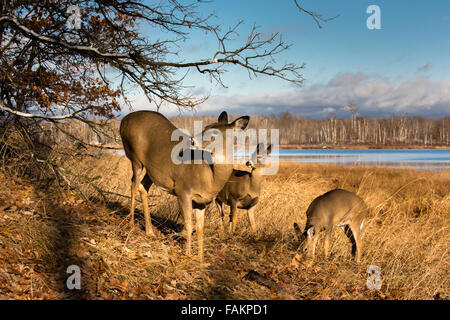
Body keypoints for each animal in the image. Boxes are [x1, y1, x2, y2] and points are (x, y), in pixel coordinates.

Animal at [120, 110, 250, 262]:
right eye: (206, 126)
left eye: (214, 132)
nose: (192, 140)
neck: (210, 176)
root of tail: (124, 120)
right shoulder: (183, 191)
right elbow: (188, 225)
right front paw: (188, 256)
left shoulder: (202, 201)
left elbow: (200, 228)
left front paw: (200, 259)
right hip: (134, 156)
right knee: (133, 184)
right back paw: (131, 224)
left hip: (152, 170)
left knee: (142, 186)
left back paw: (150, 232)